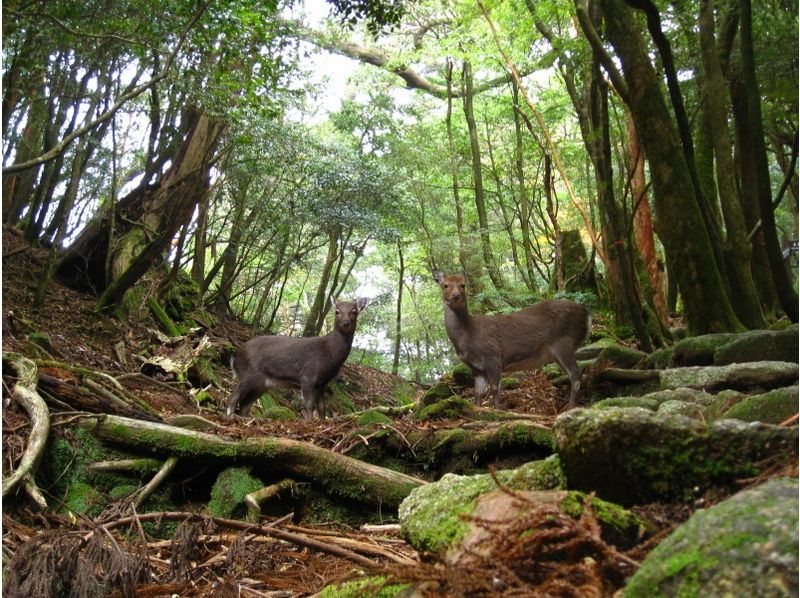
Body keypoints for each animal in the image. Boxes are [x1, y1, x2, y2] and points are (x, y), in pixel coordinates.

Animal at [227, 296, 368, 420]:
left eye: (354, 312)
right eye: (337, 311)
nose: (346, 323)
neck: (330, 356)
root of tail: (235, 355)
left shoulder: (322, 384)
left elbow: (322, 408)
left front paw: (322, 423)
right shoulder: (307, 376)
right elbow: (309, 406)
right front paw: (308, 423)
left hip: (261, 383)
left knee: (244, 404)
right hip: (248, 373)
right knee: (233, 398)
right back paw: (230, 417)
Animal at [434, 274, 592, 410]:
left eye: (463, 285)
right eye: (445, 285)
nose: (456, 295)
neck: (468, 337)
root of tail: (587, 313)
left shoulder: (493, 356)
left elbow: (495, 389)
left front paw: (498, 411)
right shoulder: (476, 368)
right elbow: (477, 393)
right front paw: (478, 409)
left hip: (564, 342)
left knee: (575, 373)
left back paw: (571, 405)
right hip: (557, 353)